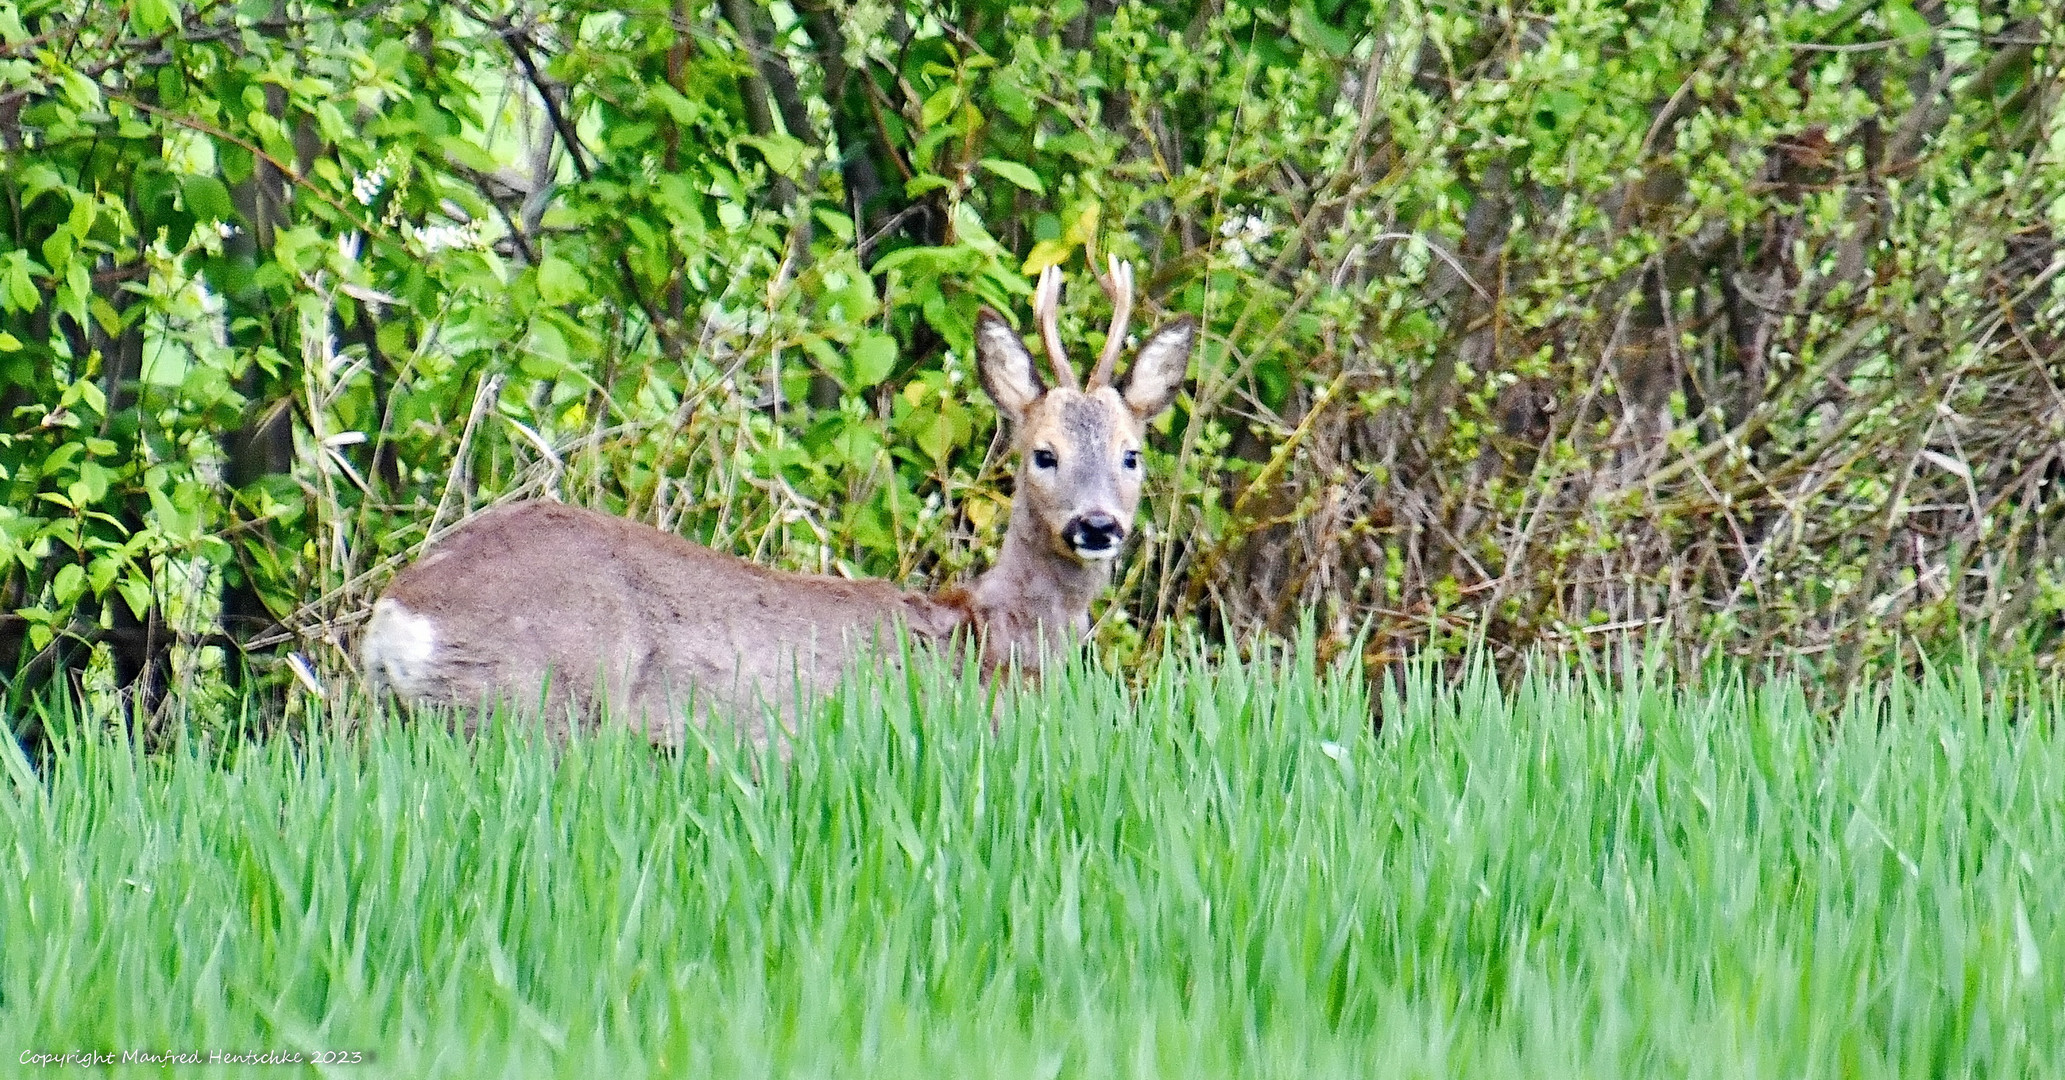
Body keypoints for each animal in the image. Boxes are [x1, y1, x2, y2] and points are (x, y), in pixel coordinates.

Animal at [363, 260, 1189, 743]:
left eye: (1131, 453)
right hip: (540, 703)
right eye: (1042, 453)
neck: (985, 639)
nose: (1096, 525)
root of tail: (397, 614)